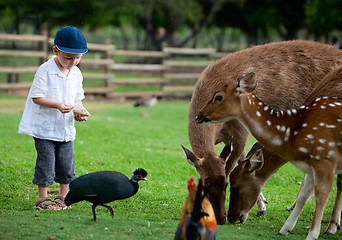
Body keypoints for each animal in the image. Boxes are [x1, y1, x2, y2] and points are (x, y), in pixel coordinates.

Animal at [186, 39, 342, 225]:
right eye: (203, 185)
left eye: (226, 185)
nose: (222, 218)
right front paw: (261, 205)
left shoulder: (240, 131)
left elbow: (232, 165)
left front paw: (259, 208)